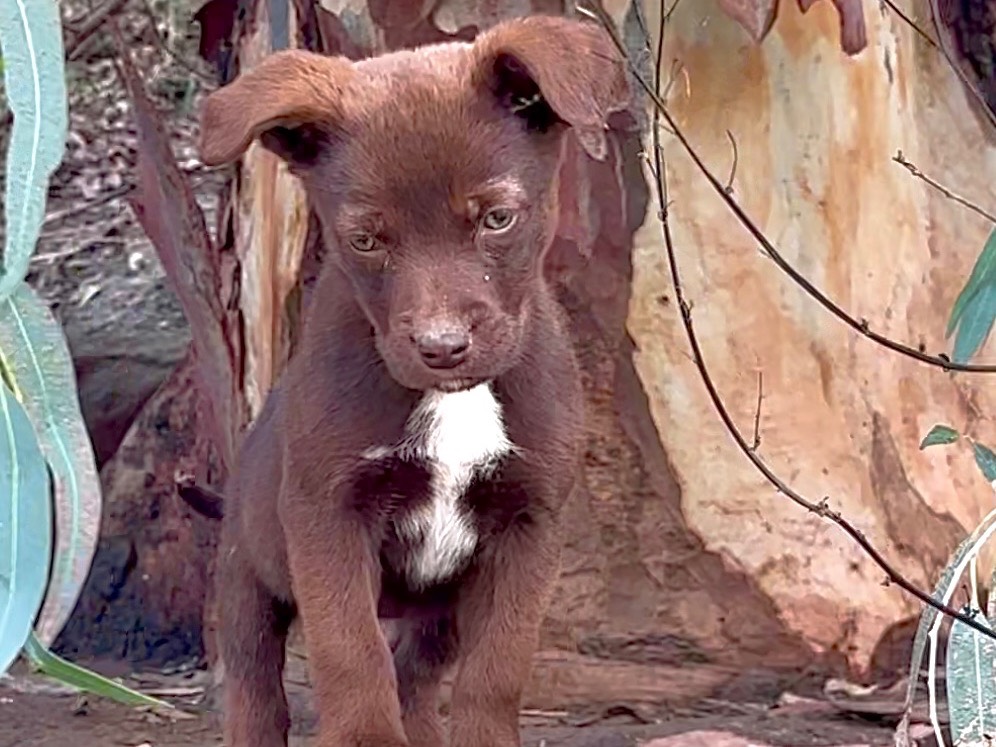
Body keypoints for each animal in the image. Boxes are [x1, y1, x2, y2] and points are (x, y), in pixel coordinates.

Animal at [196, 14, 632, 747]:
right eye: (367, 240)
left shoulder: (530, 524)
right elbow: (350, 653)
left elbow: (496, 669)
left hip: (437, 610)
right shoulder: (326, 515)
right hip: (245, 571)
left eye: (497, 218)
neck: (454, 402)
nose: (442, 347)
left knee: (417, 675)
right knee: (257, 687)